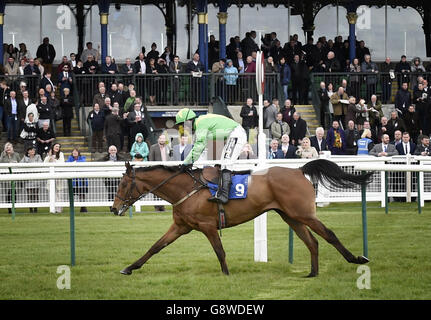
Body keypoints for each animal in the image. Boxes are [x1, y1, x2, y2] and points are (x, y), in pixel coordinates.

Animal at [112, 161, 374, 276]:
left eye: (123, 184)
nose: (114, 209)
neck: (188, 188)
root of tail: (298, 170)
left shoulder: (207, 226)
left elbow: (219, 251)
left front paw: (227, 275)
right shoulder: (180, 226)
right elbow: (155, 247)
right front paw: (129, 268)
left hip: (304, 214)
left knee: (328, 235)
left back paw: (356, 258)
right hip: (291, 216)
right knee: (312, 242)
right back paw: (312, 273)